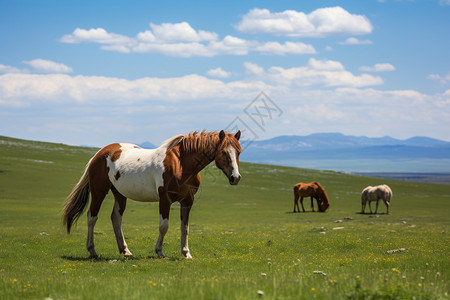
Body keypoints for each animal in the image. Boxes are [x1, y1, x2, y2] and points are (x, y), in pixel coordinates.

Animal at [62, 130, 243, 258]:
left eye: (239, 152)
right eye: (224, 152)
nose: (235, 178)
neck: (181, 164)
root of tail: (99, 154)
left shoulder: (187, 201)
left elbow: (185, 227)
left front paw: (186, 253)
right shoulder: (165, 199)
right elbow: (164, 226)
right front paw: (160, 251)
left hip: (120, 194)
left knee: (116, 219)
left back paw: (125, 251)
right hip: (99, 191)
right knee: (92, 218)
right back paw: (92, 251)